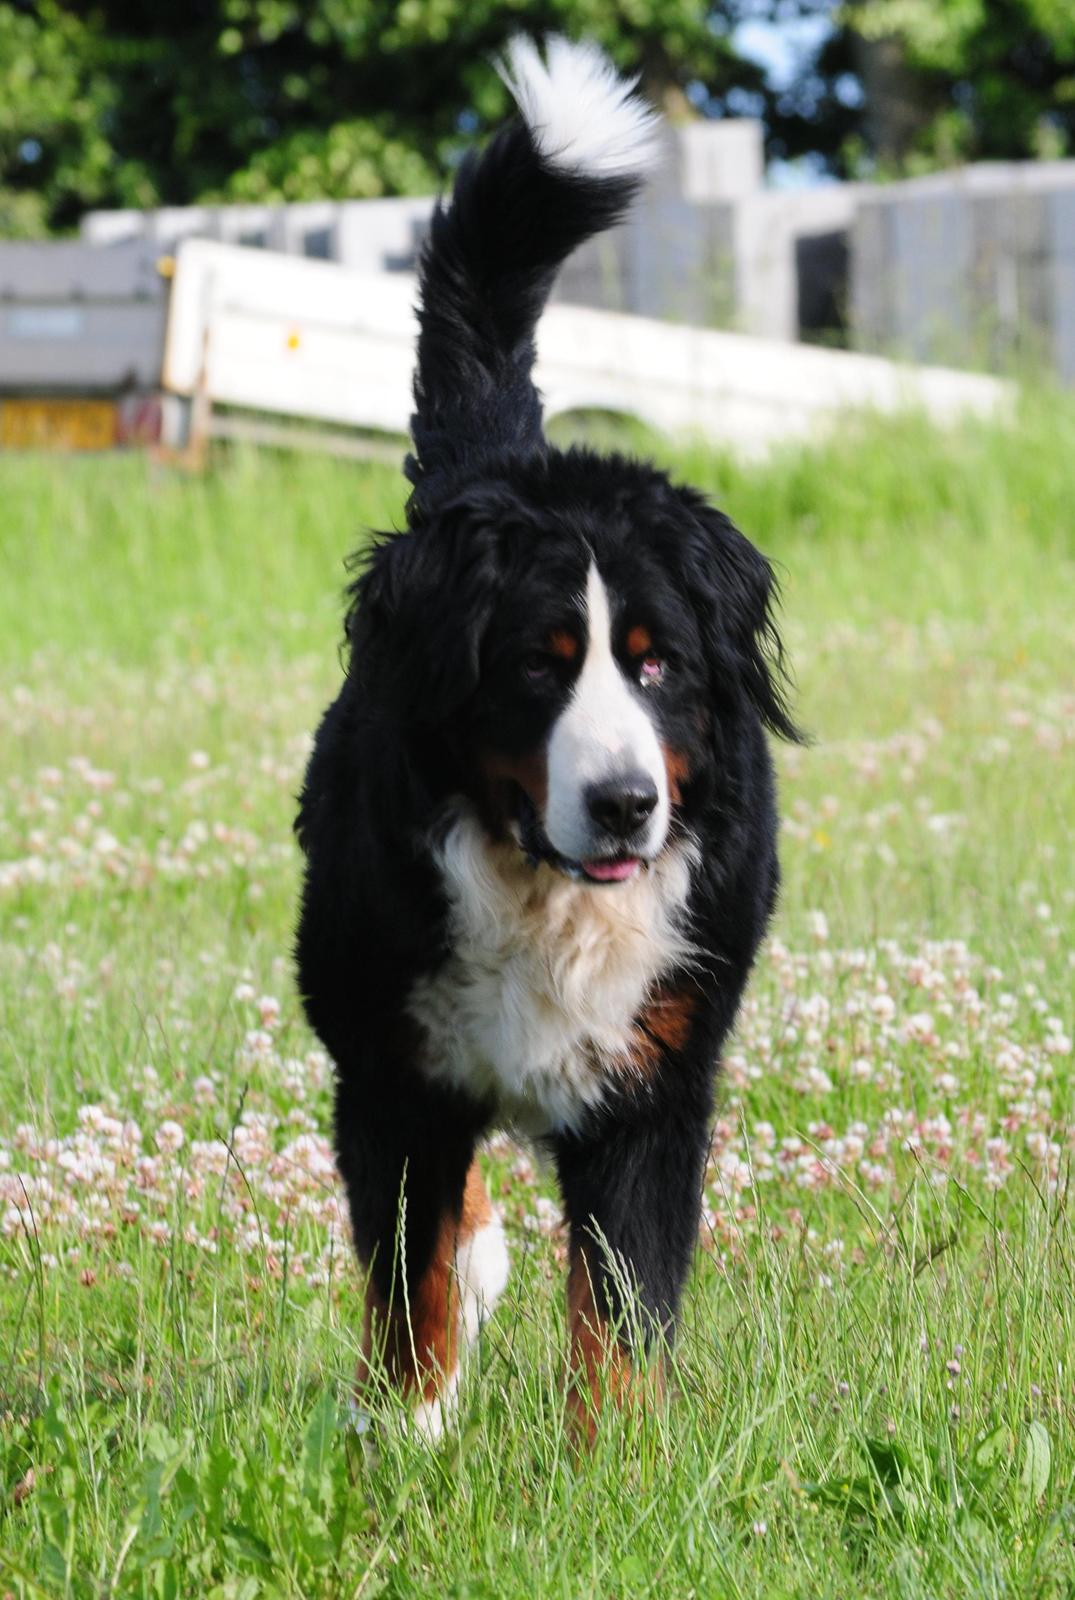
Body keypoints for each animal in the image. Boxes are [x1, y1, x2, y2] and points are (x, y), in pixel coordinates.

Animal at [294, 34, 796, 1440]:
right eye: (539, 663)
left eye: (656, 662)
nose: (626, 803)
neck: (549, 894)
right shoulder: (399, 1065)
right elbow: (408, 1273)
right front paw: (404, 1433)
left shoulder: (655, 1083)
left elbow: (621, 1306)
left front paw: (616, 1461)